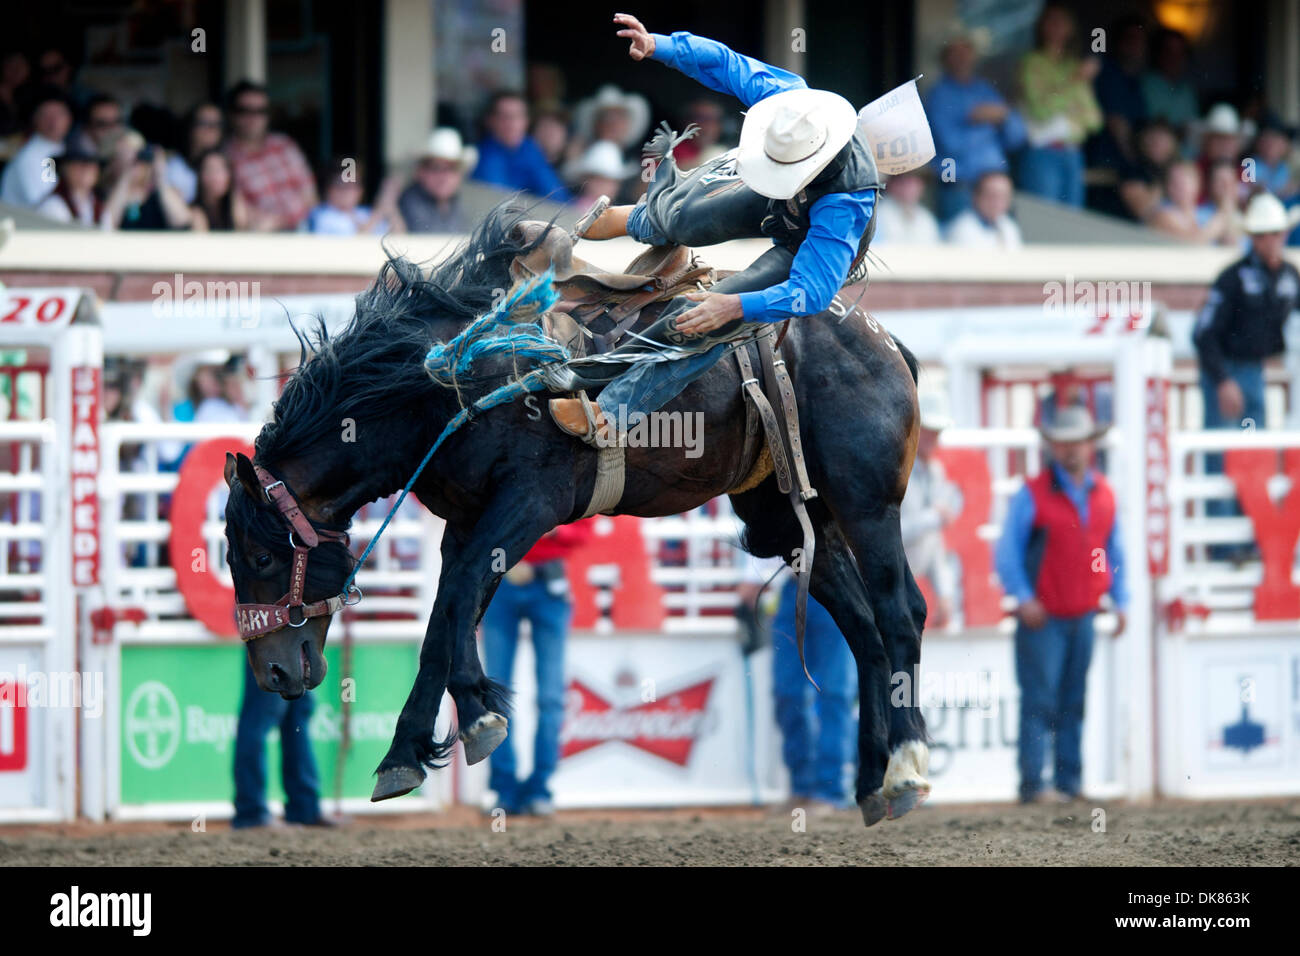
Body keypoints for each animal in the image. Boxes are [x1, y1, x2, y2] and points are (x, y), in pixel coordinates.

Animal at [226, 204, 935, 832]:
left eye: (260, 556)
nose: (272, 673)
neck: (451, 379)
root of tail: (883, 340)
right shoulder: (469, 522)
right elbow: (450, 612)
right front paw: (445, 734)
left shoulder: (529, 504)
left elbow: (454, 604)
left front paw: (439, 736)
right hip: (794, 518)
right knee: (864, 630)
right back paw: (870, 782)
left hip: (867, 501)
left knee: (901, 613)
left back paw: (906, 764)